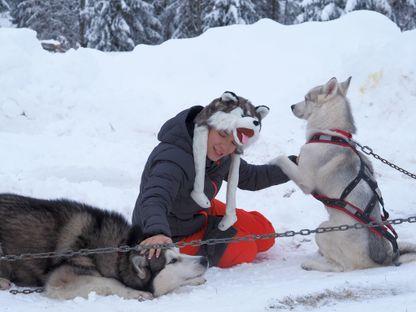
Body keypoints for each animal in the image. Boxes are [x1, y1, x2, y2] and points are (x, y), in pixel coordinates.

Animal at [0, 194, 208, 298]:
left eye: (179, 251)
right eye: (172, 261)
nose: (204, 260)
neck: (119, 251)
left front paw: (197, 280)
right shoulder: (61, 279)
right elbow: (112, 282)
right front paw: (136, 293)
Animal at [272, 77, 416, 272]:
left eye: (306, 98)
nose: (292, 106)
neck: (331, 133)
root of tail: (384, 259)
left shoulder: (305, 181)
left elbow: (281, 158)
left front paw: (271, 161)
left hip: (322, 230)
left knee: (341, 267)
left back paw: (312, 264)